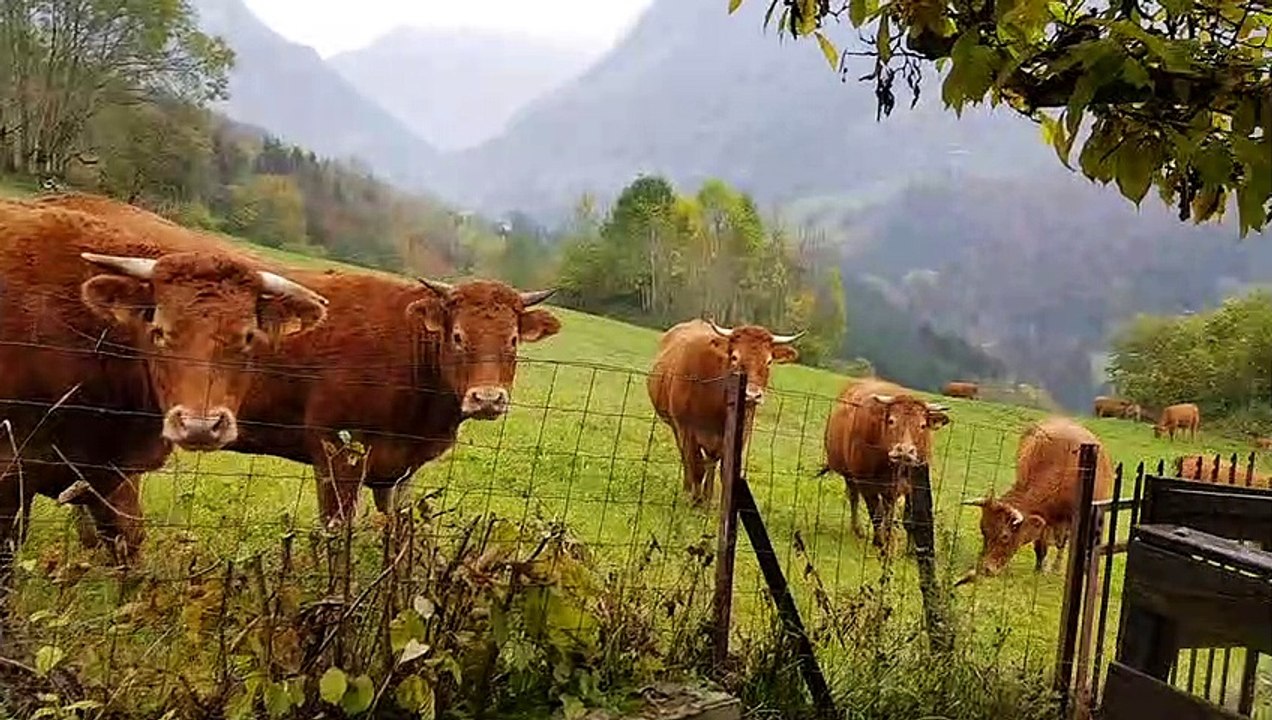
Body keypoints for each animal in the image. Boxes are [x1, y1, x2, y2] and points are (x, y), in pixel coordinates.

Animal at [647, 319, 803, 506]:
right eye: (734, 357)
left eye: (769, 361)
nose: (752, 395)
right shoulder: (686, 429)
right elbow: (696, 467)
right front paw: (695, 501)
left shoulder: (741, 434)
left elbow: (726, 473)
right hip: (677, 427)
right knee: (688, 460)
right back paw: (689, 490)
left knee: (710, 461)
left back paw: (707, 497)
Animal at [817, 378, 950, 553]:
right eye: (891, 421)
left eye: (922, 425)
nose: (905, 450)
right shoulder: (866, 484)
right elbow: (876, 514)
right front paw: (879, 542)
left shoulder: (910, 486)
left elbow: (906, 518)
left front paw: (907, 549)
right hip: (850, 477)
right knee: (854, 498)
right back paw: (858, 529)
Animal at [956, 416, 1113, 585]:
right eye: (984, 531)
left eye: (1005, 536)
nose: (986, 568)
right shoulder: (1044, 519)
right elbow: (1040, 547)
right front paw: (1039, 569)